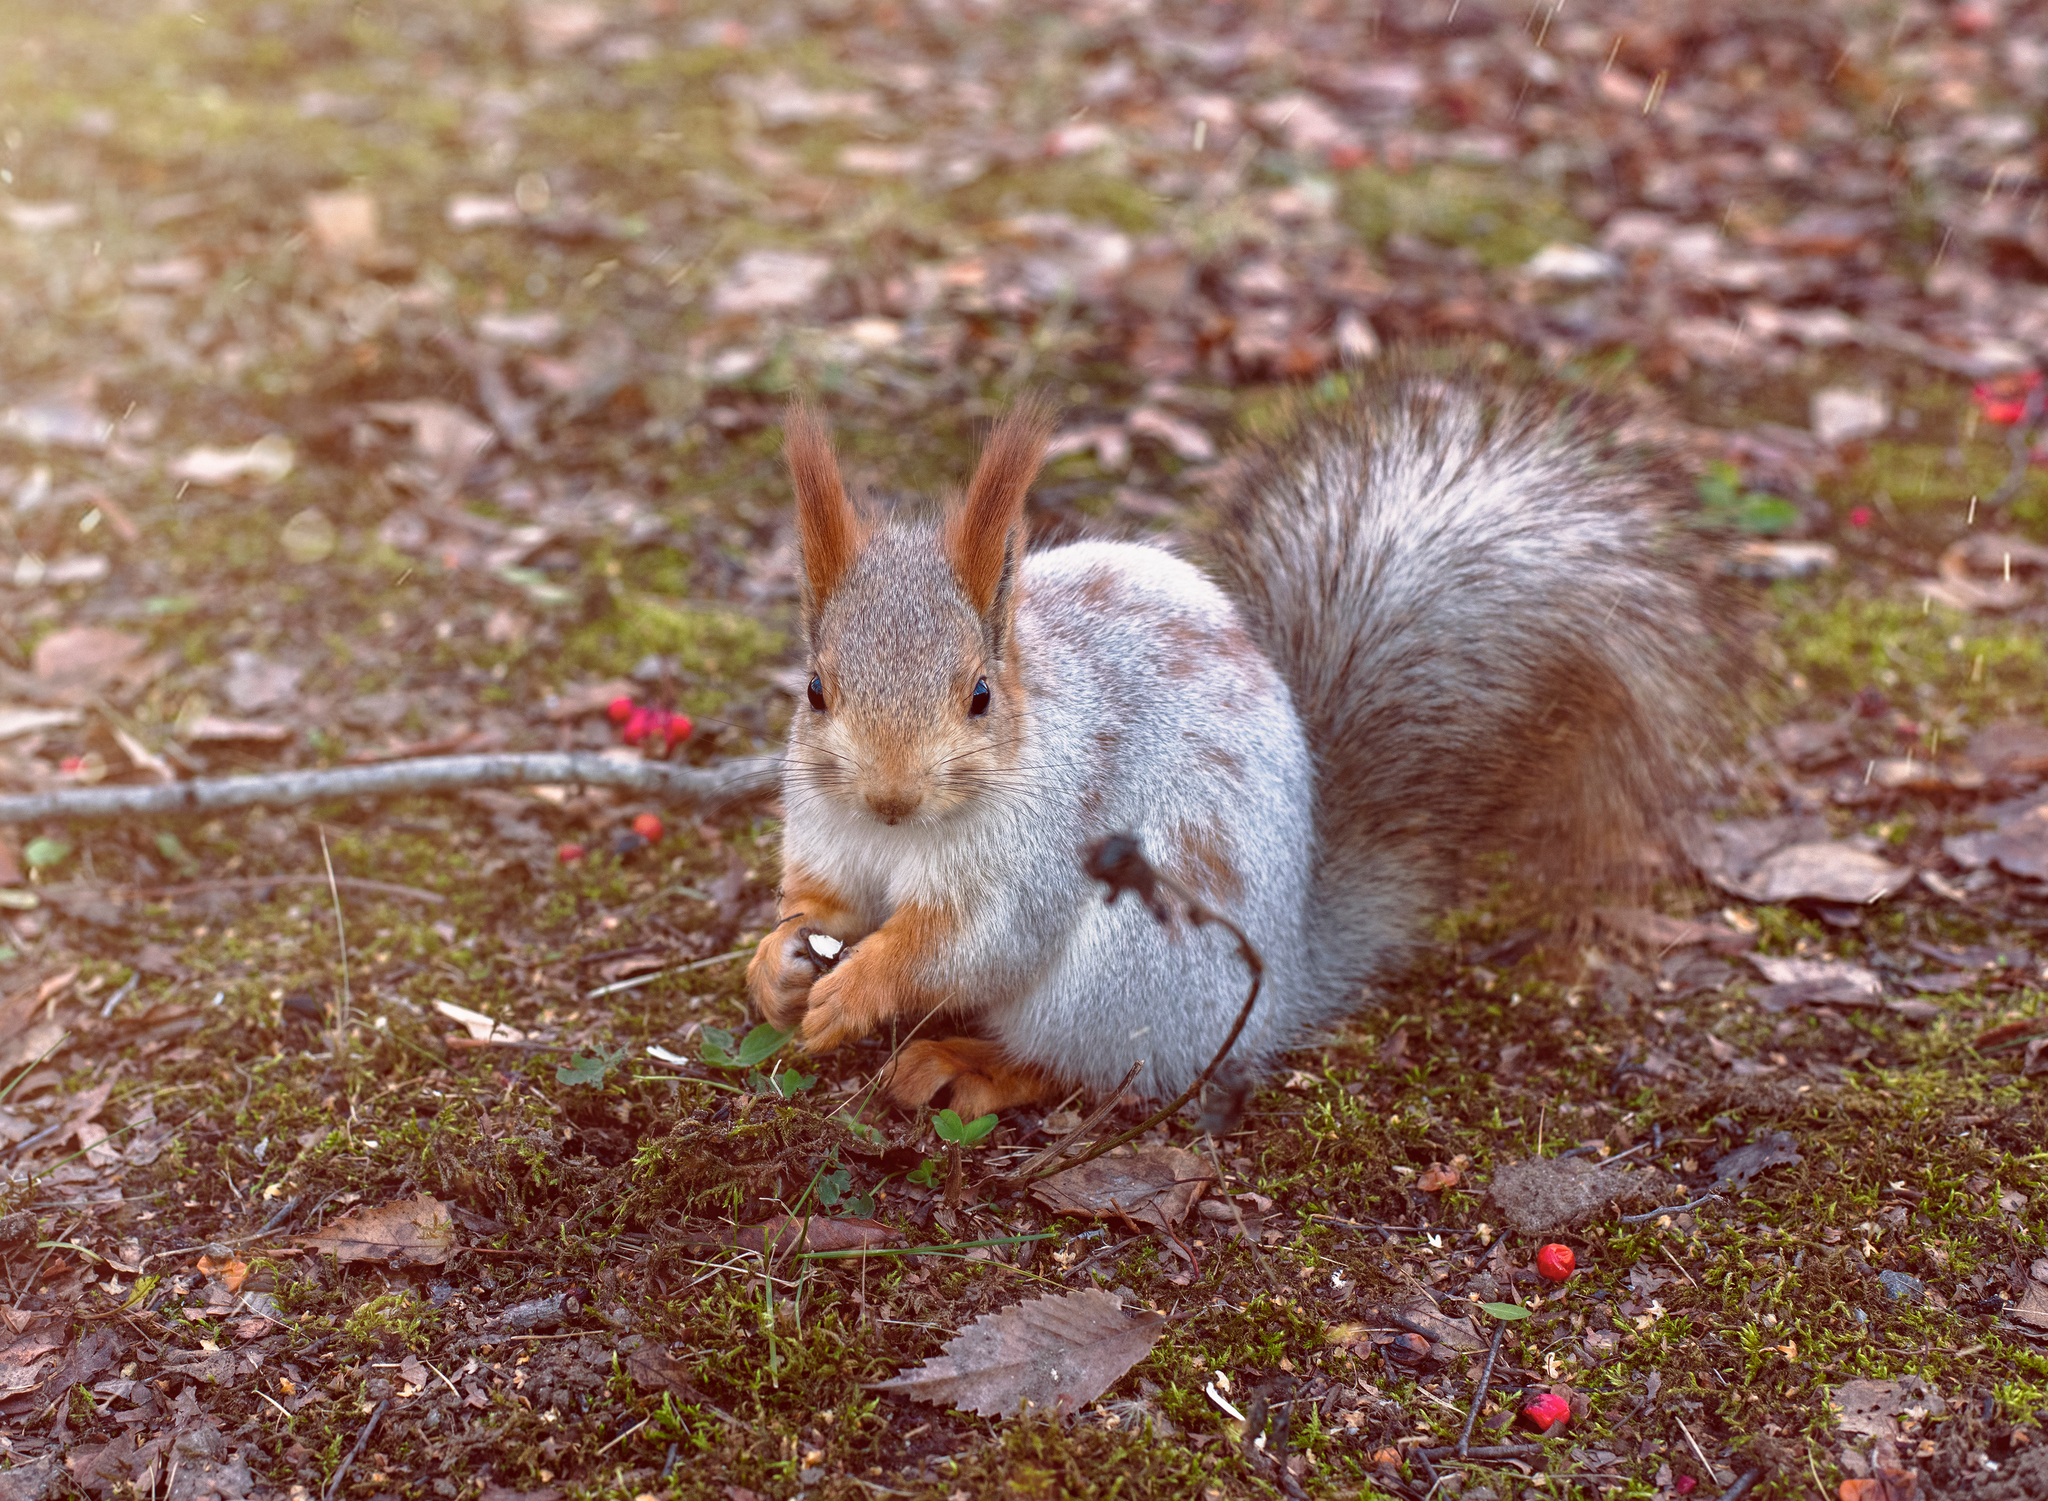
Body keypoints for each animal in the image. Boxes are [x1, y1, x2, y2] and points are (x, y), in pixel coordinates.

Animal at [745, 360, 1736, 1122]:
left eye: (980, 695)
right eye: (815, 688)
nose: (890, 795)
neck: (901, 836)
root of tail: (1287, 977)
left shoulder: (1038, 849)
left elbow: (973, 942)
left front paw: (861, 986)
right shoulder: (828, 828)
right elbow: (824, 902)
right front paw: (773, 963)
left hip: (1130, 972)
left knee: (1097, 1070)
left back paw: (974, 1064)